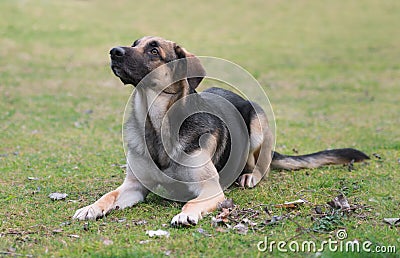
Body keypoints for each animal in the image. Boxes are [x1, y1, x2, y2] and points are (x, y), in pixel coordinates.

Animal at [72, 35, 368, 226]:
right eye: (134, 44)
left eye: (154, 51)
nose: (114, 51)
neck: (157, 124)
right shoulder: (133, 186)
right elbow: (109, 195)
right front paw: (90, 208)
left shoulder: (210, 189)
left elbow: (191, 202)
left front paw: (185, 214)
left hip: (257, 120)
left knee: (261, 164)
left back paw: (249, 176)